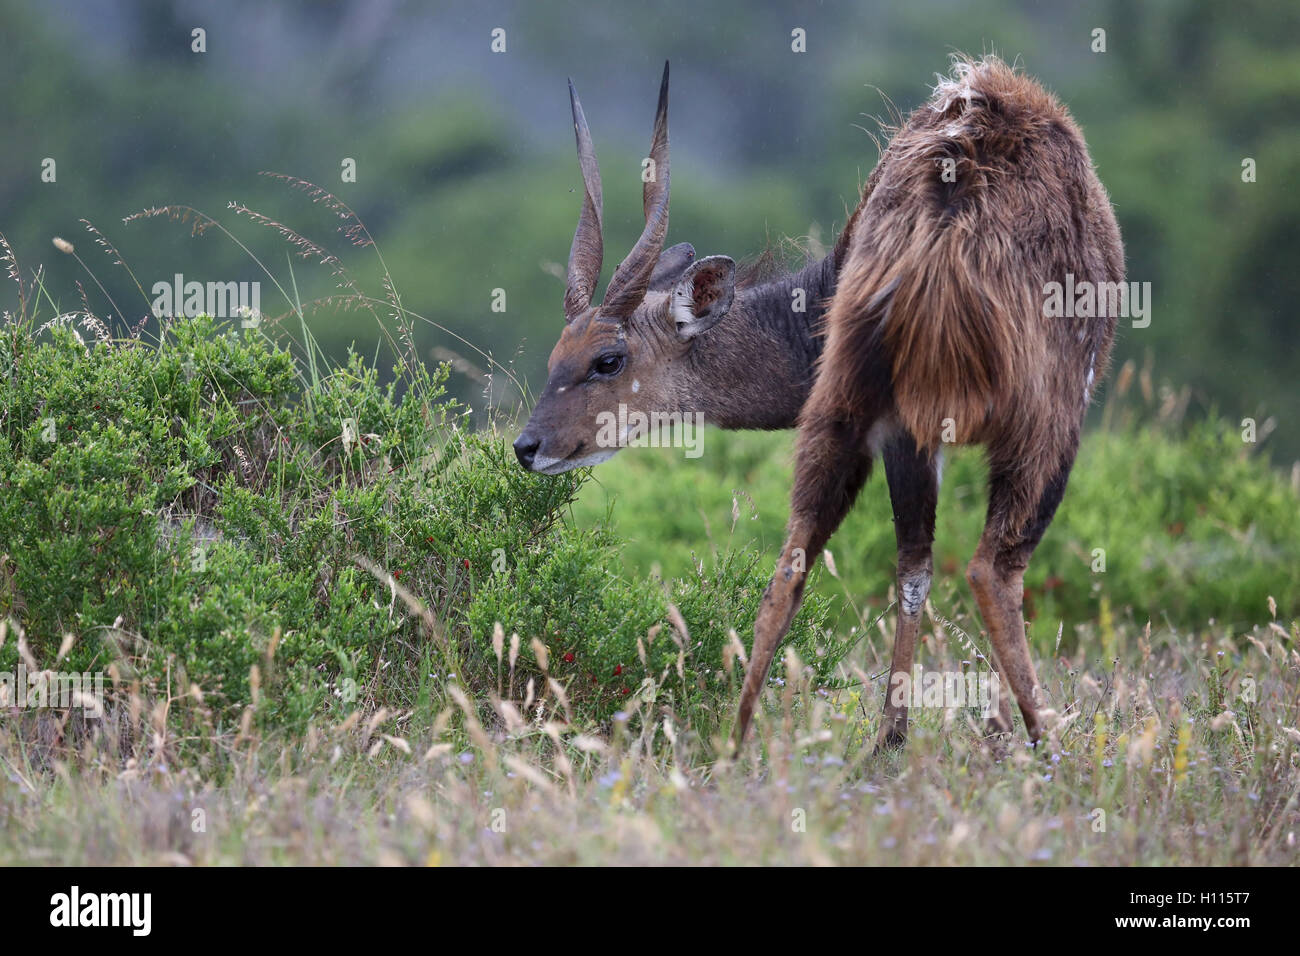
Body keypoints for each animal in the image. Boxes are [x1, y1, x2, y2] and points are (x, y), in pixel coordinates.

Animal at [514, 57, 1125, 750]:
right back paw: (1046, 746)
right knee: (992, 570)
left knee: (792, 570)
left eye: (606, 359)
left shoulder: (898, 431)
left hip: (844, 411)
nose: (527, 448)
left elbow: (908, 568)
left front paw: (891, 737)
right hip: (1044, 425)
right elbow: (936, 567)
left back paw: (739, 747)